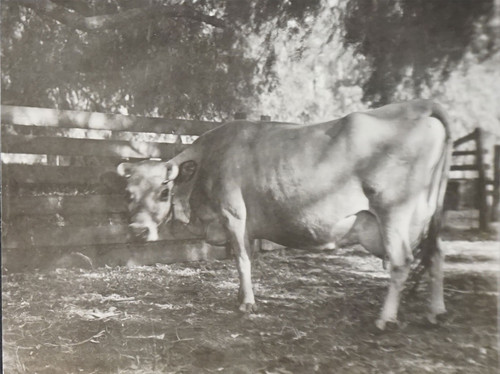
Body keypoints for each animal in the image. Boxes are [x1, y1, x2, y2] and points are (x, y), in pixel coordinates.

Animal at [118, 100, 454, 330]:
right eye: (129, 194)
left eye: (163, 191)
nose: (138, 230)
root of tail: (419, 106)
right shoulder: (246, 226)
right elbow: (245, 257)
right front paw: (241, 296)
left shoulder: (234, 215)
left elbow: (242, 260)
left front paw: (248, 304)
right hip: (431, 215)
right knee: (436, 254)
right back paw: (435, 312)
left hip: (393, 211)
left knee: (401, 261)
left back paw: (386, 319)